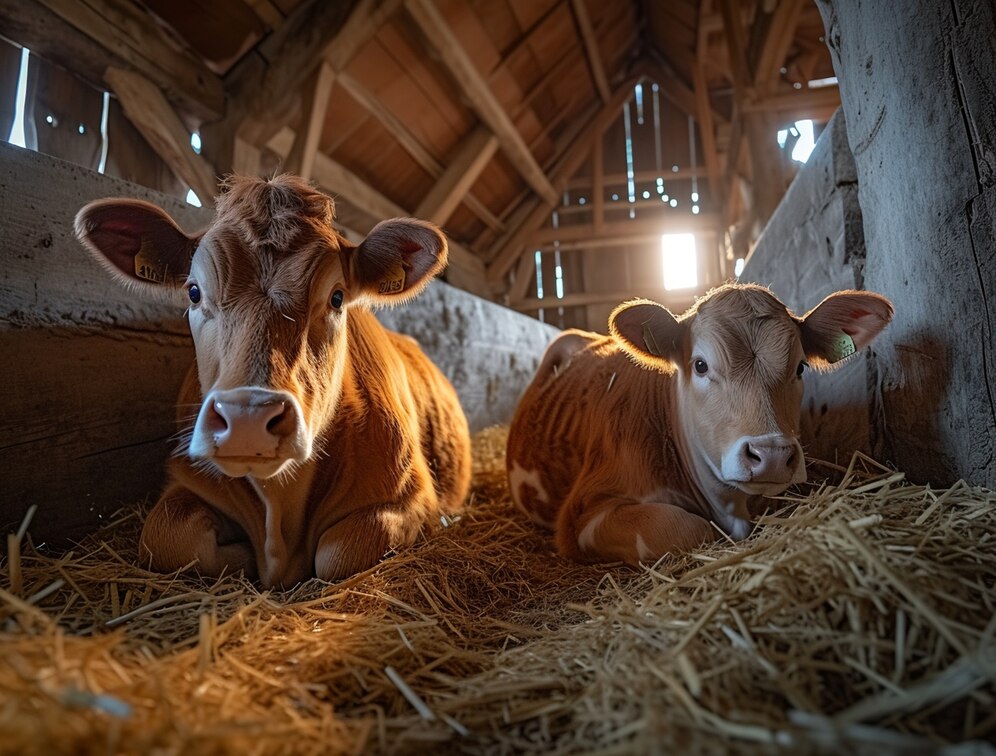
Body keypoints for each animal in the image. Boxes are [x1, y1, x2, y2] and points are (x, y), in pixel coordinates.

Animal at [76, 174, 472, 588]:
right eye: (194, 292)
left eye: (337, 298)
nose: (247, 421)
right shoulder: (184, 482)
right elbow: (168, 537)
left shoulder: (413, 500)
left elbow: (338, 553)